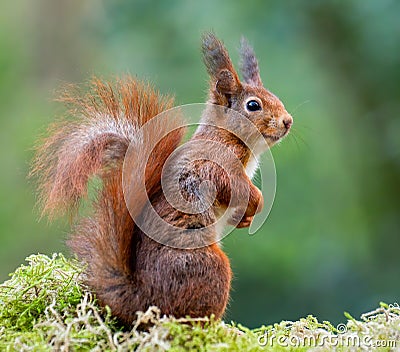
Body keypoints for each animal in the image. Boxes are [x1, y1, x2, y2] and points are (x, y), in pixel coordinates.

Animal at [31, 33, 292, 324]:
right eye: (253, 105)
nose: (288, 121)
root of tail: (140, 299)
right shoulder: (213, 160)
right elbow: (226, 181)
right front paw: (257, 200)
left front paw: (245, 217)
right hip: (209, 267)